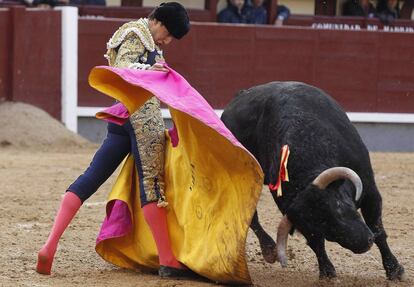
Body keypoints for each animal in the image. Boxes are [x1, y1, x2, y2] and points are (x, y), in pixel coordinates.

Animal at [222, 81, 406, 282]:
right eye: (327, 232)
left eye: (339, 206)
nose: (365, 242)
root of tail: (239, 96)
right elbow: (315, 243)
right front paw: (326, 271)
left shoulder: (370, 191)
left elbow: (378, 229)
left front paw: (394, 270)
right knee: (250, 215)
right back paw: (269, 249)